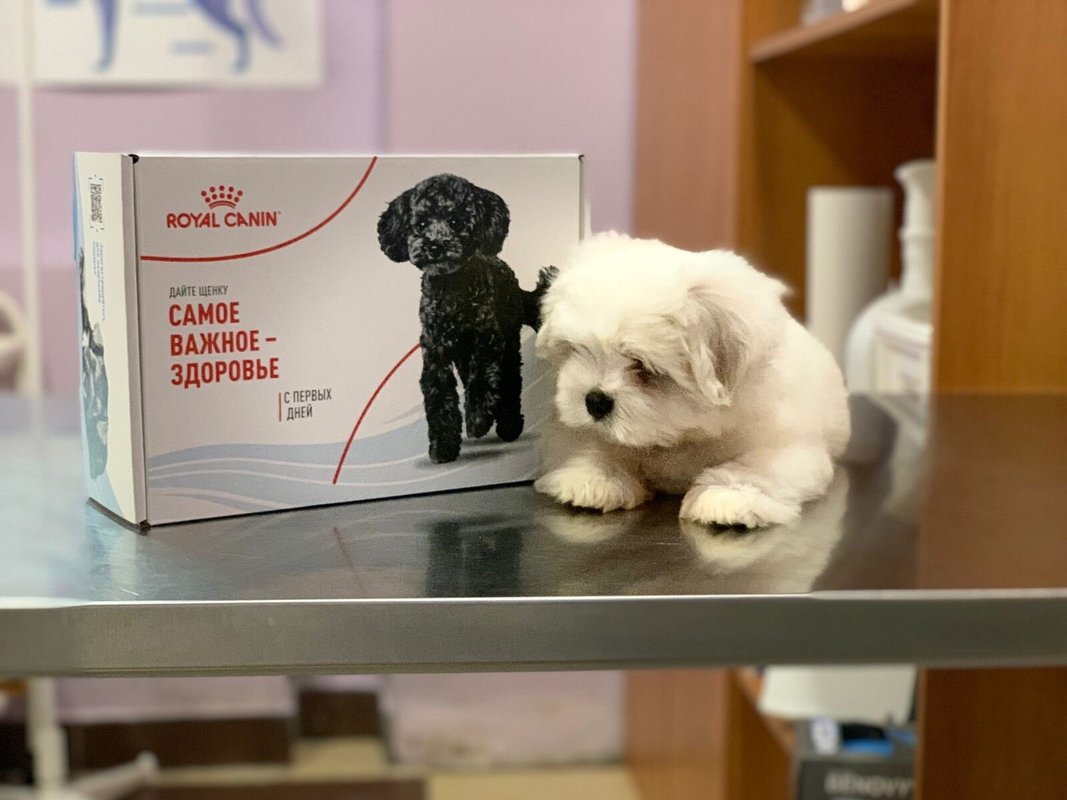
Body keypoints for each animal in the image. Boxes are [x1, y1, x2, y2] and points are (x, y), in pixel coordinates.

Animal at [377, 173, 554, 464]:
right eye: (421, 223)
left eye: (456, 222)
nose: (434, 245)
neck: (452, 292)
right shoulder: (435, 355)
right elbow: (439, 398)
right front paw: (443, 448)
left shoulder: (487, 342)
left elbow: (482, 381)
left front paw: (478, 420)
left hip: (508, 342)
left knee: (509, 381)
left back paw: (509, 426)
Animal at [534, 233, 850, 528]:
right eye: (578, 349)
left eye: (642, 365)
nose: (595, 400)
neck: (681, 436)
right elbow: (592, 442)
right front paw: (594, 478)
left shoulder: (790, 449)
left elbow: (758, 466)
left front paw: (729, 496)